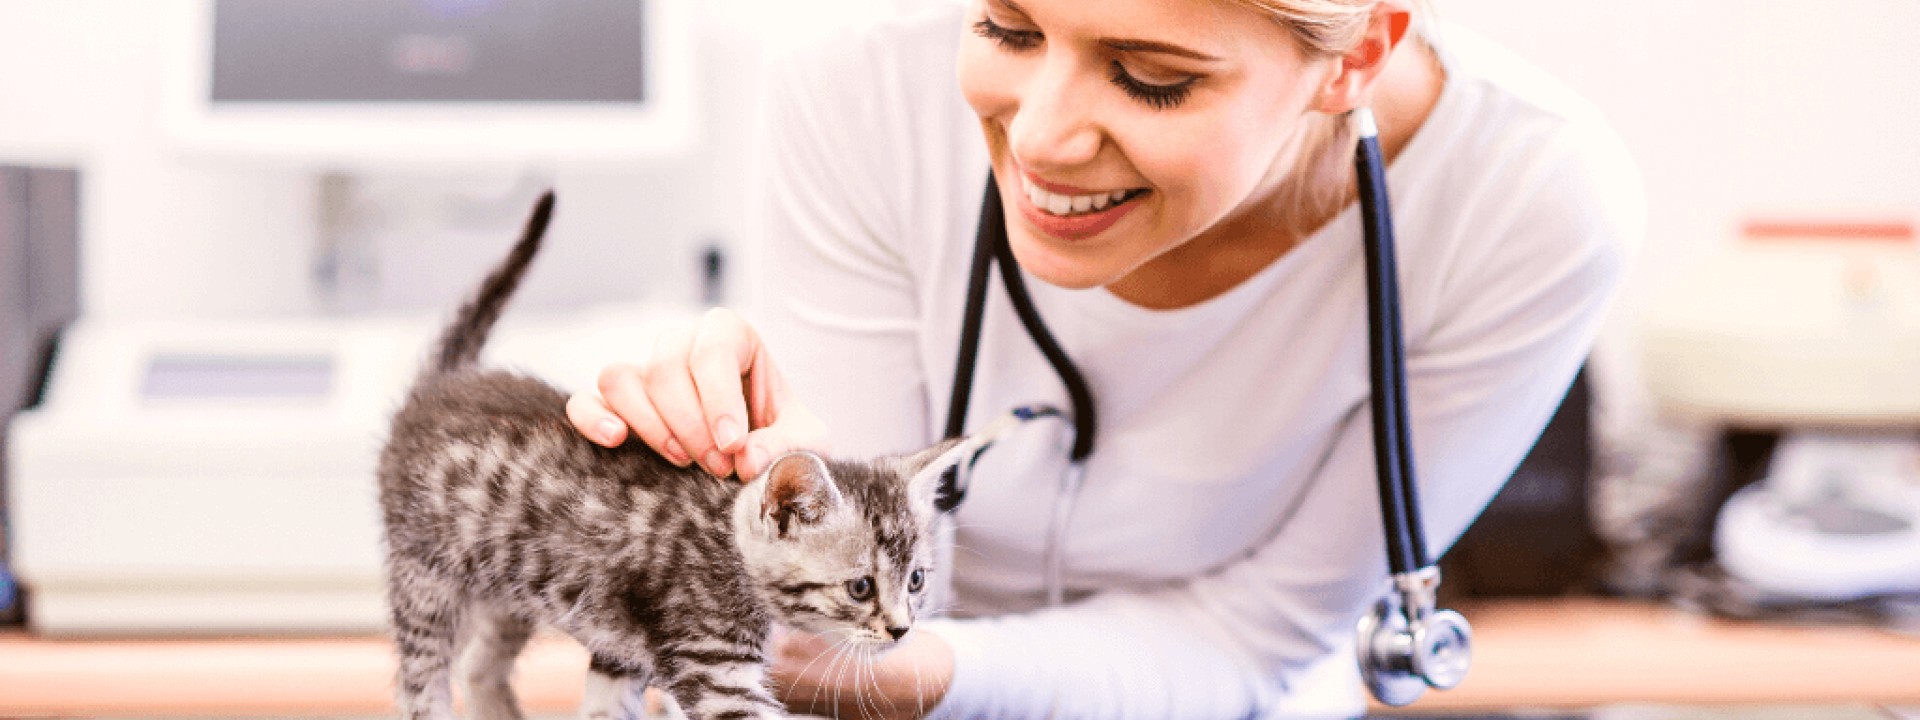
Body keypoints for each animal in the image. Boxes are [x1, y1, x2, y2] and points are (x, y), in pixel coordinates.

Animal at [372, 192, 975, 720]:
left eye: (916, 580)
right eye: (860, 587)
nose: (902, 629)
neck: (726, 547)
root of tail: (439, 385)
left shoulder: (621, 656)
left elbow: (605, 707)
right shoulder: (714, 666)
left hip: (511, 589)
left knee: (480, 663)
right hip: (424, 575)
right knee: (420, 679)